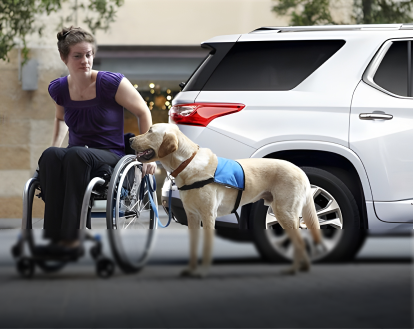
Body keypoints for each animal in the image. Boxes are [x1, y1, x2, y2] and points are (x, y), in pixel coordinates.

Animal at [133, 124, 324, 276]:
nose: (131, 139)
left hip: (284, 213)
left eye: (150, 131)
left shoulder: (208, 216)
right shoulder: (192, 217)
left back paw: (295, 269)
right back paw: (302, 267)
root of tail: (300, 170)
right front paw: (191, 270)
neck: (187, 163)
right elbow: (193, 247)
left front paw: (202, 272)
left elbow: (207, 246)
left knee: (300, 242)